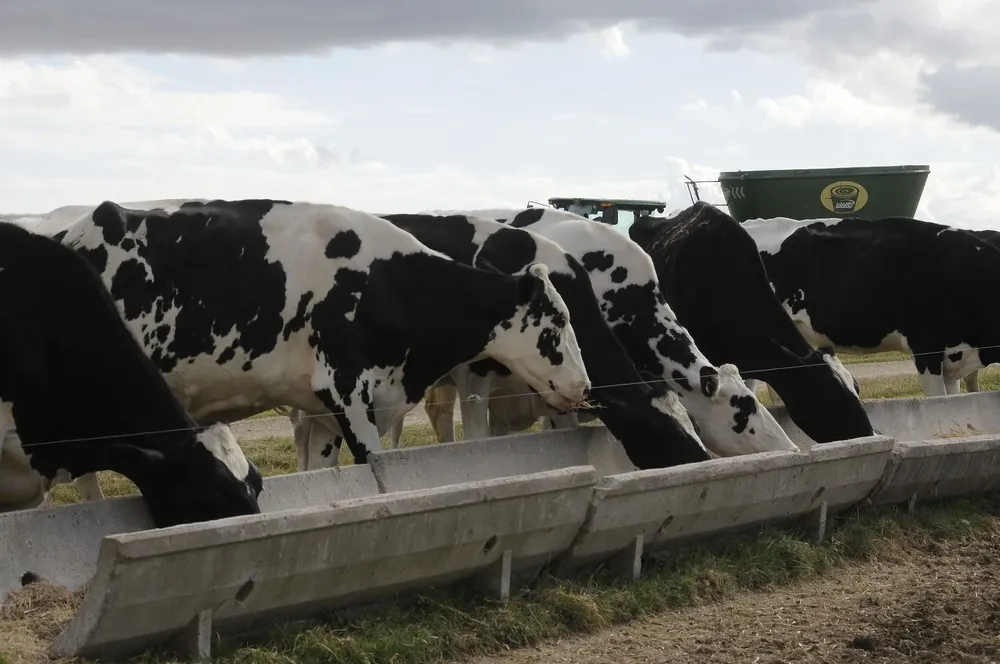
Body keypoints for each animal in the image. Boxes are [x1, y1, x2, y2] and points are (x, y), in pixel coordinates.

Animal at [16, 199, 591, 474]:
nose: (584, 387)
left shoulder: (324, 412)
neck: (391, 284)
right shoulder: (348, 392)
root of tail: (74, 230)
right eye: (558, 322)